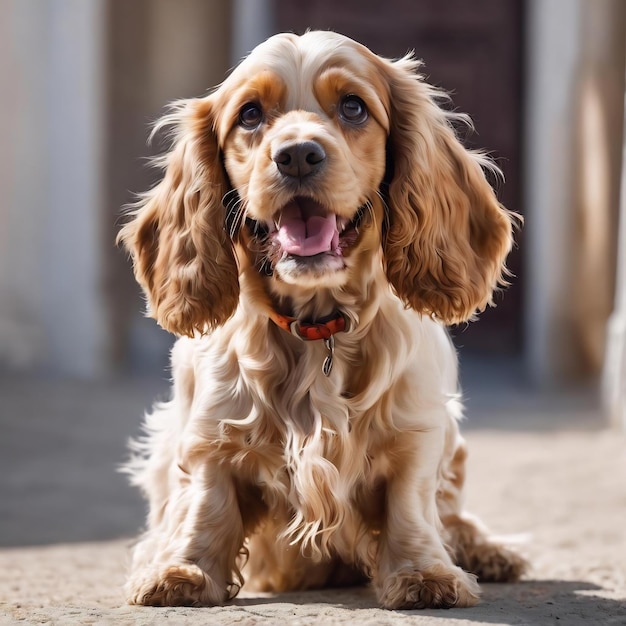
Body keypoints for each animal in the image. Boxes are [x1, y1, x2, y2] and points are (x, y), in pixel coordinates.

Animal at [116, 30, 520, 608]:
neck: (317, 329)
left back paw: (487, 551)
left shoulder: (418, 428)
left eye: (353, 107)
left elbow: (410, 503)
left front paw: (424, 573)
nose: (298, 156)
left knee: (453, 514)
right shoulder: (208, 432)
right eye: (250, 114)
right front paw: (183, 571)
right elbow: (206, 503)